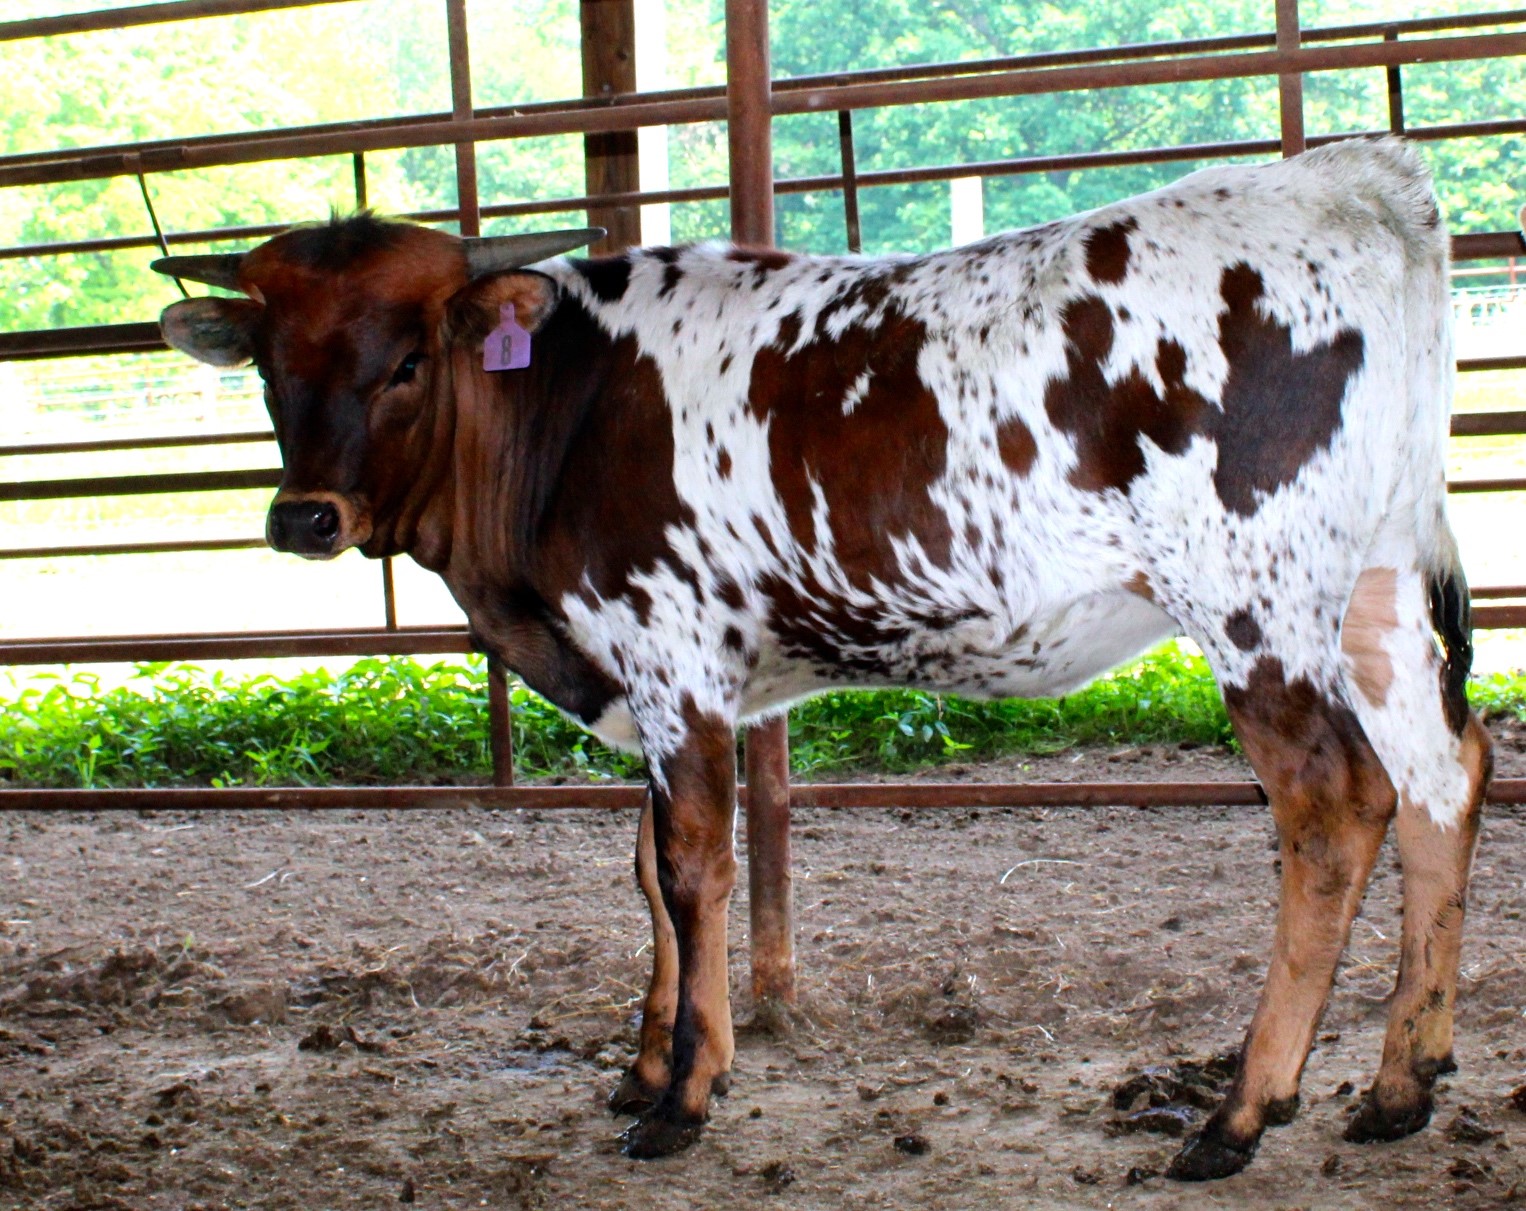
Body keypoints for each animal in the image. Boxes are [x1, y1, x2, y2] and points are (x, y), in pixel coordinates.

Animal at [151, 137, 1490, 1181]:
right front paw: (646, 1061)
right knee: (1442, 771)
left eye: (407, 360)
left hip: (1252, 602)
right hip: (1366, 593)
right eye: (271, 365)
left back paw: (1239, 1111)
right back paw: (1399, 1081)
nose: (304, 515)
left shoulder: (672, 656)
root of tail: (1347, 178)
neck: (564, 414)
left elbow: (692, 867)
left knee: (1334, 804)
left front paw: (683, 1094)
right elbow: (647, 870)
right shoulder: (661, 681)